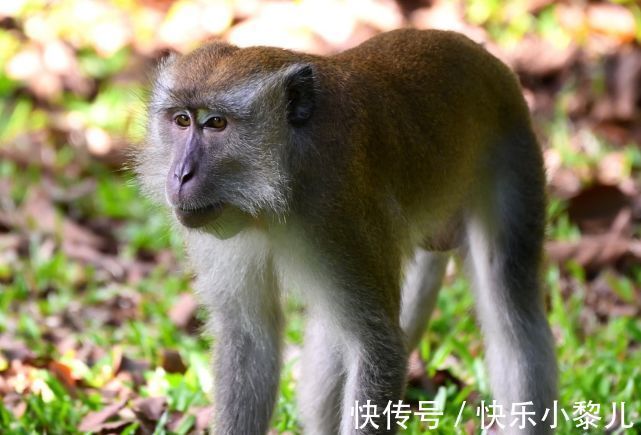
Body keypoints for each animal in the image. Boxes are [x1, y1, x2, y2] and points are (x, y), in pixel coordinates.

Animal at [135, 29, 556, 434]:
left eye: (216, 123)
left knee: (510, 313)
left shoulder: (339, 214)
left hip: (512, 152)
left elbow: (379, 348)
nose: (181, 174)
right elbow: (250, 336)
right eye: (182, 121)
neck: (285, 179)